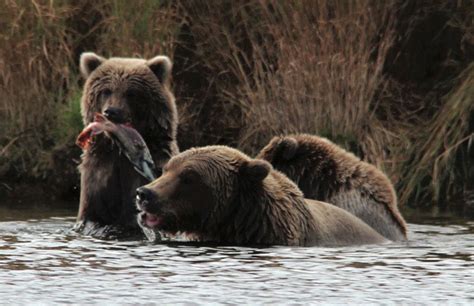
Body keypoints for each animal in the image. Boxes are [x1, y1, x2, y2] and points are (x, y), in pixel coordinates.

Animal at [76, 52, 180, 239]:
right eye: (106, 91)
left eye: (131, 93)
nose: (112, 112)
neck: (118, 149)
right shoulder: (98, 173)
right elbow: (91, 216)